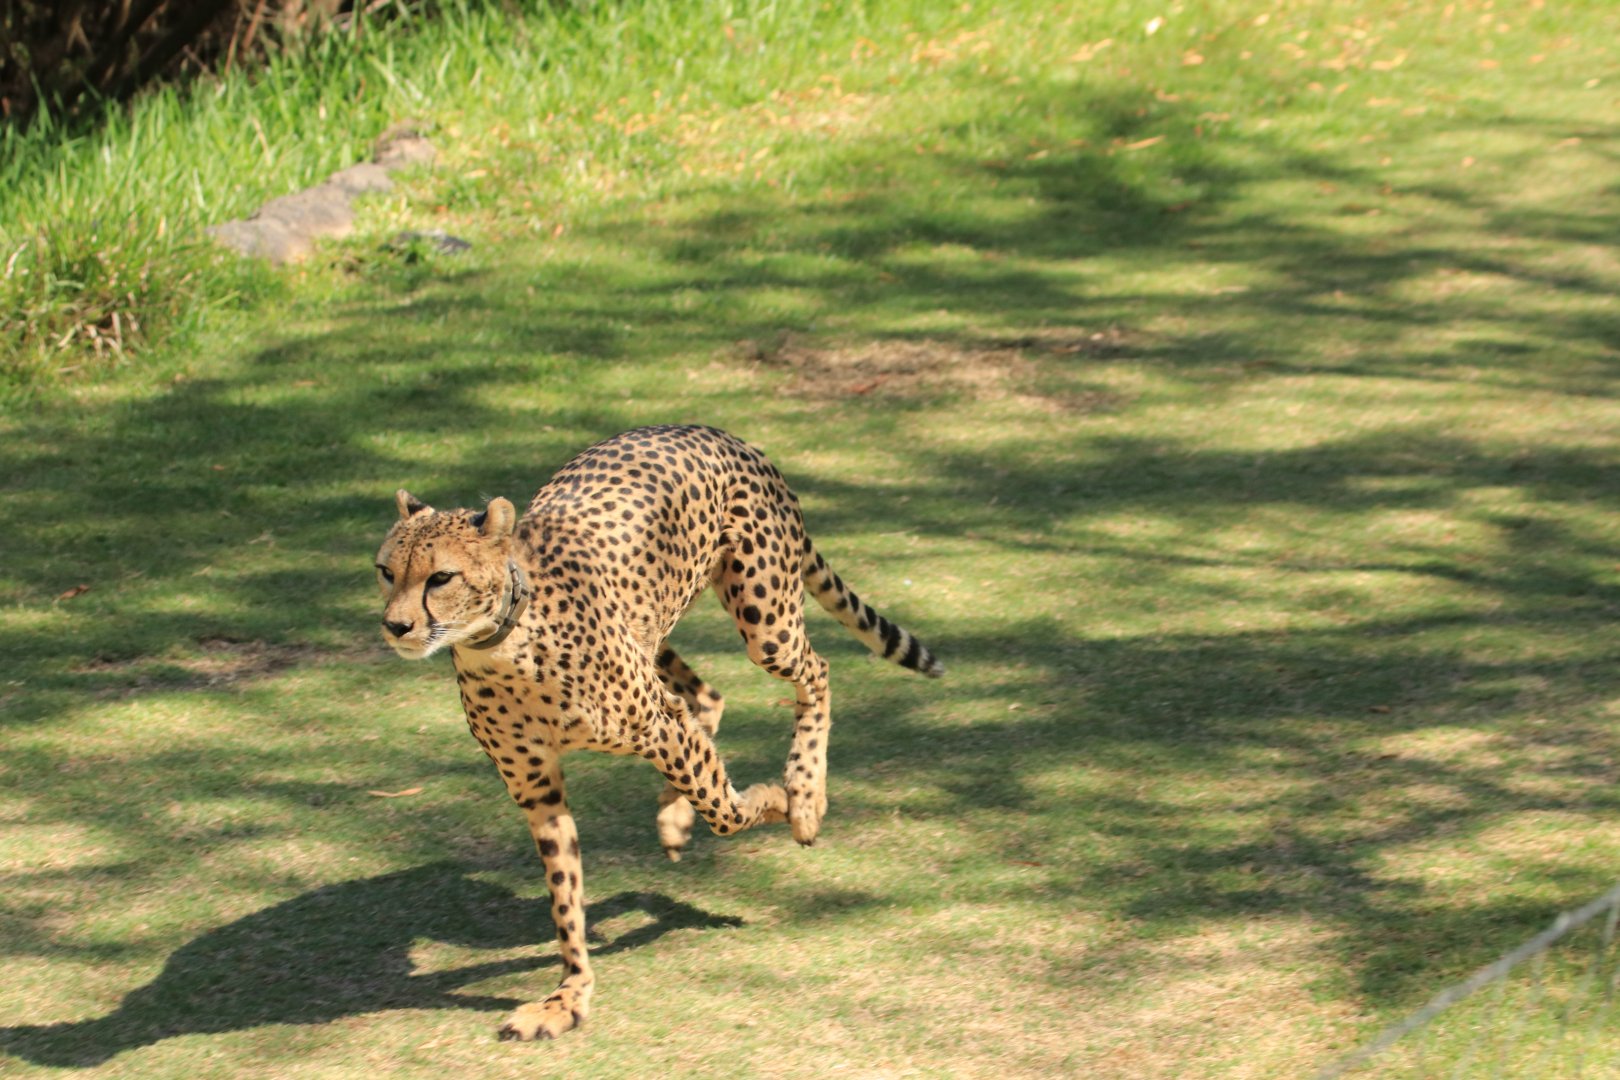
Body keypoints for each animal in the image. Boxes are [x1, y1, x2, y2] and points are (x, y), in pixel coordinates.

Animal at [373, 424, 942, 1041]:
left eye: (441, 577)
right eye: (386, 571)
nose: (396, 626)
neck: (503, 640)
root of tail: (717, 432)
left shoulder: (659, 729)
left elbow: (726, 810)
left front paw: (776, 799)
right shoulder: (538, 789)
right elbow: (565, 897)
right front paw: (568, 997)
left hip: (765, 623)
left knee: (815, 670)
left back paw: (806, 794)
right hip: (656, 628)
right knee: (705, 697)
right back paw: (676, 814)